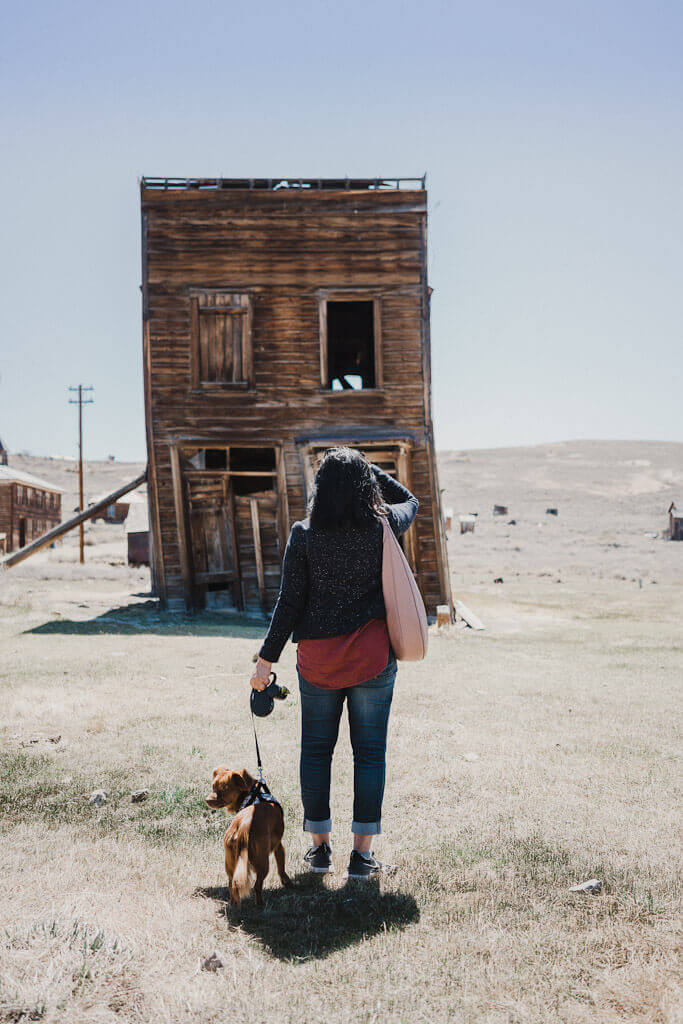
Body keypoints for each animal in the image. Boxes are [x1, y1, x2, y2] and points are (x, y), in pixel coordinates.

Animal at [205, 770, 290, 905]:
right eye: (213, 787)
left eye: (223, 790)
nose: (207, 800)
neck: (251, 796)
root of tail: (242, 827)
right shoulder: (279, 845)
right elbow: (281, 867)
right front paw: (288, 883)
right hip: (263, 861)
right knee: (257, 886)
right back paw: (260, 904)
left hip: (231, 863)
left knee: (232, 885)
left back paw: (234, 905)